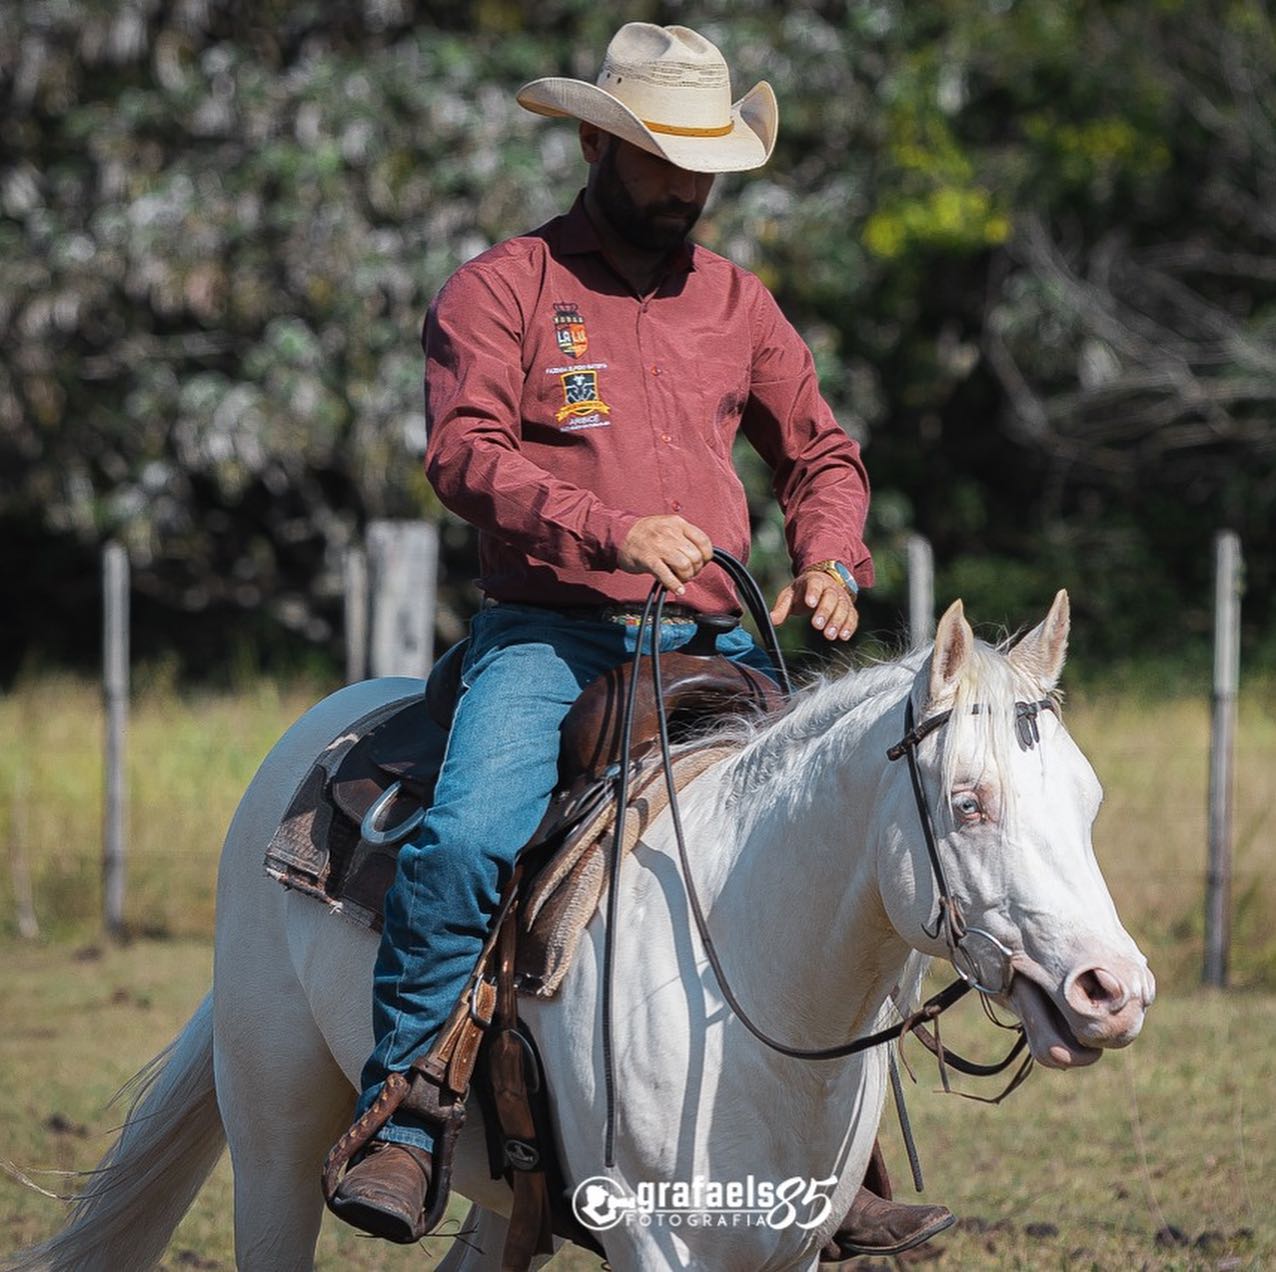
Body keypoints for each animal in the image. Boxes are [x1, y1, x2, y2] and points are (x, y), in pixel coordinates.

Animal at [6, 592, 1154, 1271]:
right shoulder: (652, 1238)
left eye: (1093, 801)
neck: (746, 982)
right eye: (968, 802)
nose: (1112, 989)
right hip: (276, 1136)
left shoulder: (787, 1243)